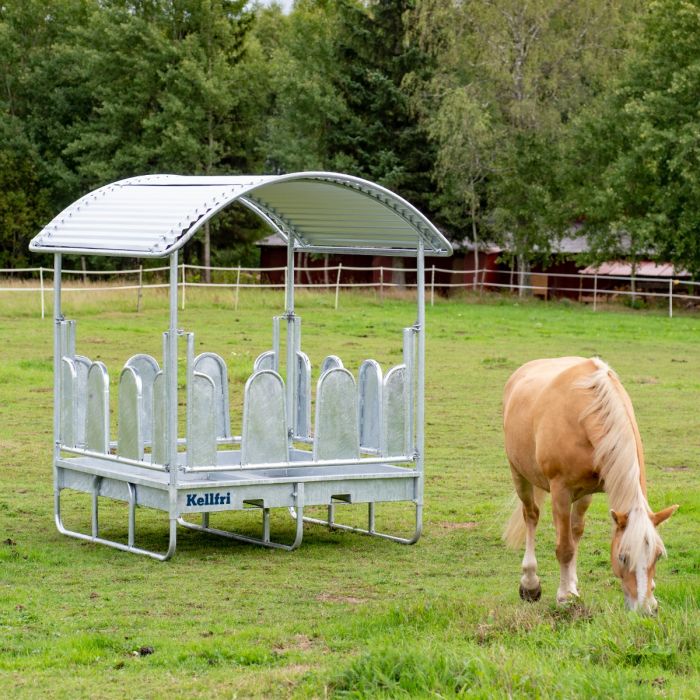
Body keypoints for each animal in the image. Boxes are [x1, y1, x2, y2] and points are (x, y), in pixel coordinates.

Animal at [504, 356, 680, 612]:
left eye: (657, 556)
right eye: (622, 557)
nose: (645, 609)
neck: (583, 412)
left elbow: (574, 537)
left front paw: (571, 588)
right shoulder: (560, 491)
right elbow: (565, 547)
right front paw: (564, 595)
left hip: (584, 493)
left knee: (576, 528)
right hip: (520, 475)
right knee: (532, 516)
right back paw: (530, 582)